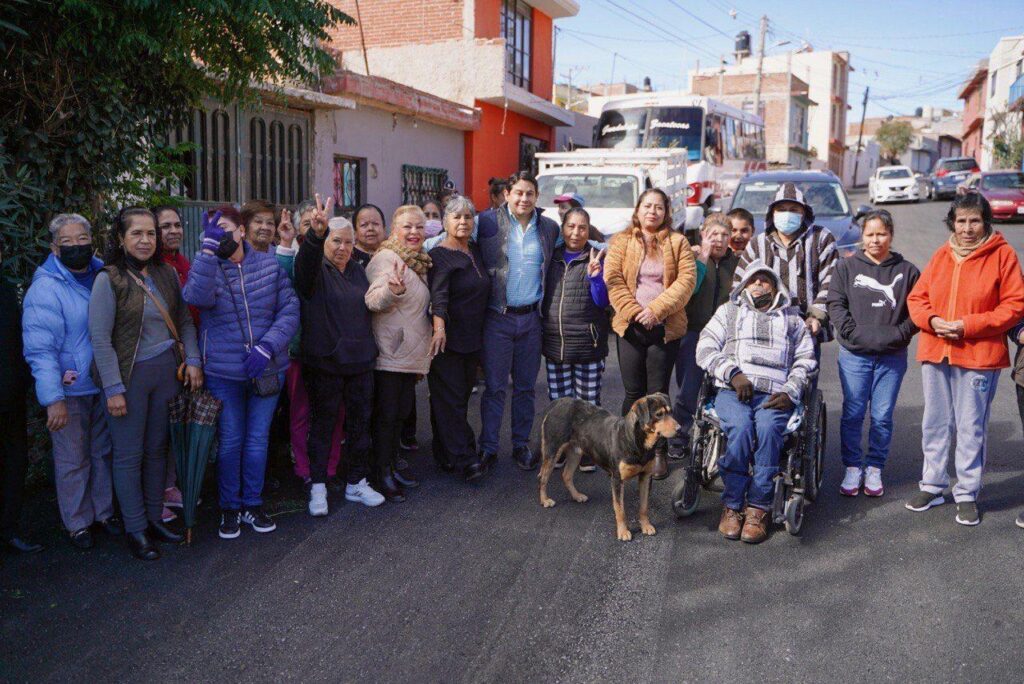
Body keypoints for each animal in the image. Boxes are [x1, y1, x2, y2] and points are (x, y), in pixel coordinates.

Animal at [536, 395, 679, 540]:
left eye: (671, 412)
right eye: (659, 414)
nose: (679, 428)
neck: (636, 441)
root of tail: (560, 401)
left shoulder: (646, 477)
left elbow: (644, 506)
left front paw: (646, 526)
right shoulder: (617, 480)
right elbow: (620, 509)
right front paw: (623, 531)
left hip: (575, 452)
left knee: (566, 475)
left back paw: (577, 496)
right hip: (553, 451)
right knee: (543, 477)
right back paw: (545, 500)